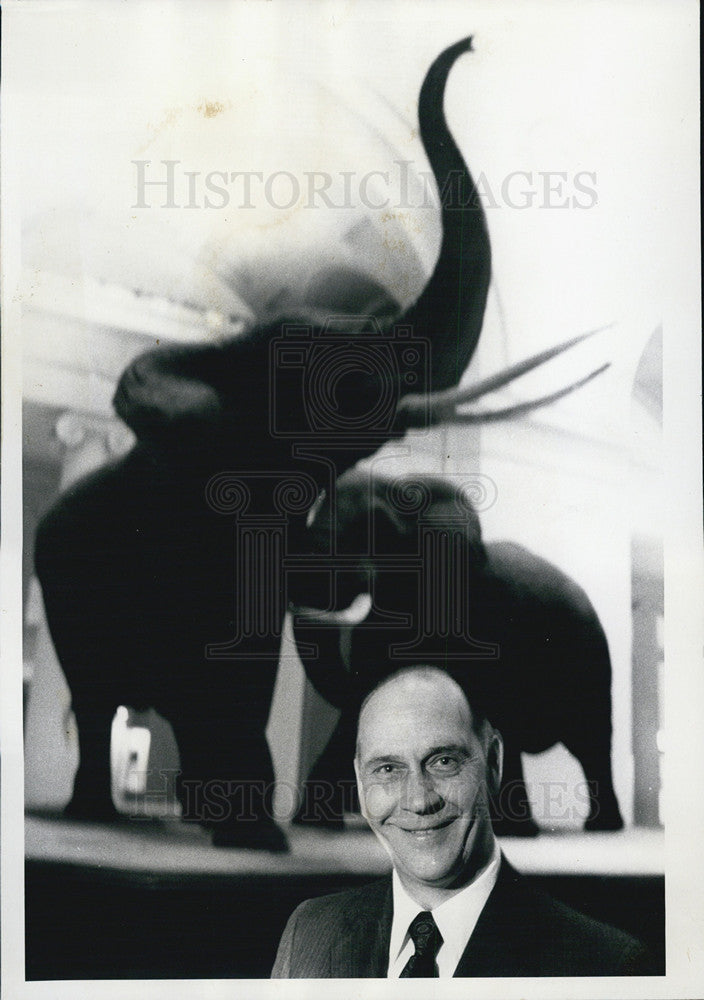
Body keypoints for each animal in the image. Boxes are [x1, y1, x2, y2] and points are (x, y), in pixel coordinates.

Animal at [288, 468, 624, 836]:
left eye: (377, 526)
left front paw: (513, 830)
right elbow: (363, 701)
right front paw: (310, 823)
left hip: (592, 655)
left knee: (591, 738)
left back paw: (603, 827)